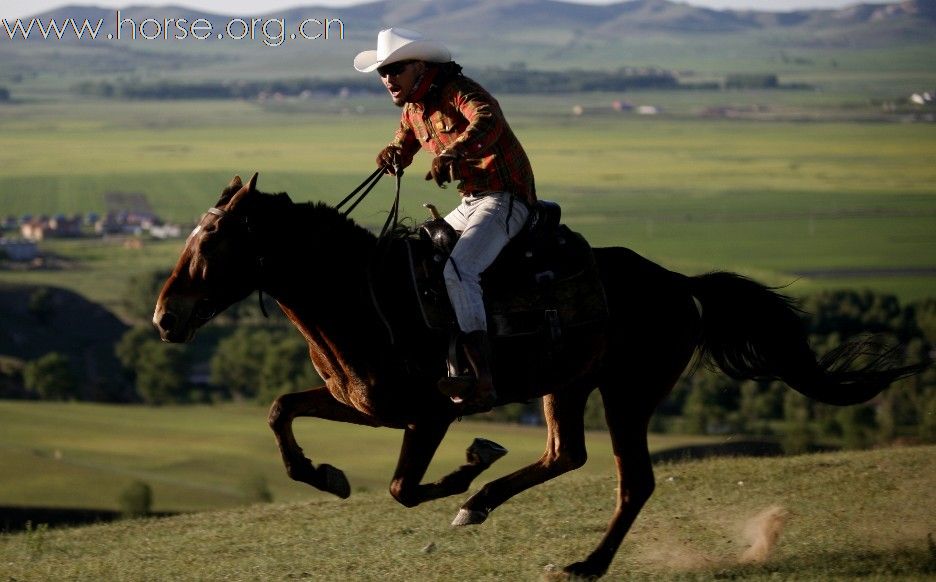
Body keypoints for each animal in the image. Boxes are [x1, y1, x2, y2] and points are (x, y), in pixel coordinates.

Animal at [154, 176, 920, 580]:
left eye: (214, 241)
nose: (165, 317)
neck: (367, 300)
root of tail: (680, 285)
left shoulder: (432, 412)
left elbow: (405, 488)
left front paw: (469, 464)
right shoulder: (367, 404)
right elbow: (281, 410)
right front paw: (328, 475)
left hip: (627, 393)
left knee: (632, 481)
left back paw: (580, 559)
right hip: (569, 384)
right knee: (566, 453)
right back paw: (490, 504)